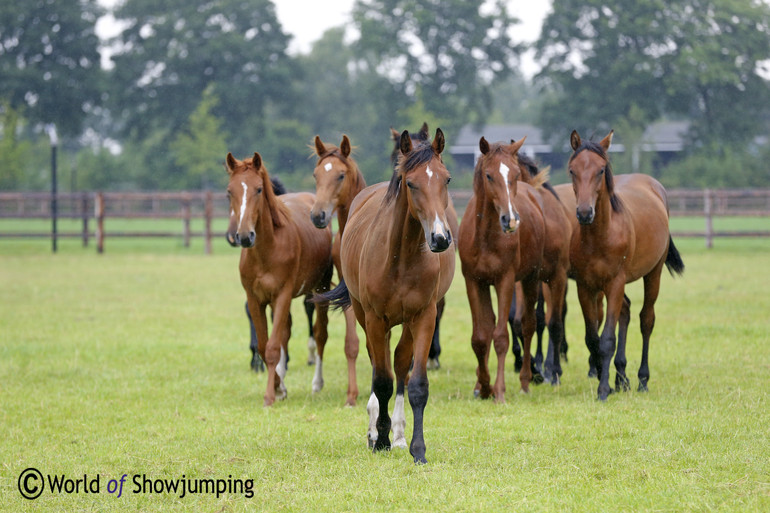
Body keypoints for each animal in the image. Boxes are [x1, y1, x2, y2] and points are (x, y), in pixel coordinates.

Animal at [222, 150, 330, 406]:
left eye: (259, 189)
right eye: (230, 191)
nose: (243, 236)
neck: (267, 251)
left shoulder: (282, 295)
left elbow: (272, 346)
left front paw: (271, 394)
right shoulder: (256, 299)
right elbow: (265, 345)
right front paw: (279, 387)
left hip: (319, 288)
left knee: (320, 332)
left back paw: (316, 381)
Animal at [320, 128, 452, 464]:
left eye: (446, 179)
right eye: (411, 183)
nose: (440, 238)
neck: (401, 258)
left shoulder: (425, 317)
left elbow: (416, 383)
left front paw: (418, 449)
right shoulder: (375, 319)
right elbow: (381, 381)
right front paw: (379, 438)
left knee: (401, 365)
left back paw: (400, 434)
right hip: (365, 317)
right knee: (377, 364)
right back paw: (376, 431)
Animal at [456, 136, 544, 400]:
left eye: (514, 174)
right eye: (489, 175)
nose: (510, 219)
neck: (485, 237)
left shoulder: (505, 280)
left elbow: (501, 336)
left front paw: (500, 390)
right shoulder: (473, 281)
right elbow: (480, 336)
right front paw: (483, 386)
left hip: (531, 279)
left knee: (527, 325)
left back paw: (525, 382)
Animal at [564, 129, 684, 400]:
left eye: (600, 170)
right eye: (572, 170)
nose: (584, 213)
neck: (601, 236)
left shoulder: (615, 283)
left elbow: (607, 338)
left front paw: (603, 389)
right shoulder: (585, 287)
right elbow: (592, 338)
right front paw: (606, 380)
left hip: (654, 274)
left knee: (646, 319)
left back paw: (641, 379)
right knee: (626, 312)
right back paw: (622, 378)